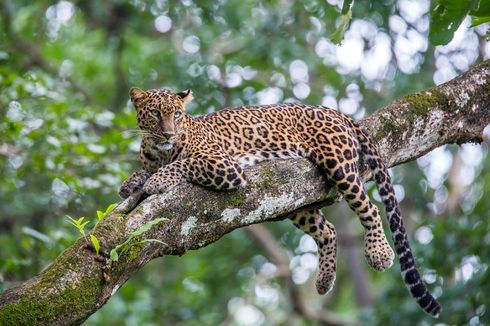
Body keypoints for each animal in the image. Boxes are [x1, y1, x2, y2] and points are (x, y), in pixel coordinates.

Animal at [120, 86, 442, 316]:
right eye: (155, 113)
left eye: (176, 114)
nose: (168, 133)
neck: (159, 149)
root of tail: (334, 111)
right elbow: (144, 170)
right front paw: (130, 183)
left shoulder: (224, 166)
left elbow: (183, 164)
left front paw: (158, 179)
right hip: (288, 198)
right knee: (328, 230)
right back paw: (324, 280)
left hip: (339, 165)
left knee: (370, 207)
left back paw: (379, 253)